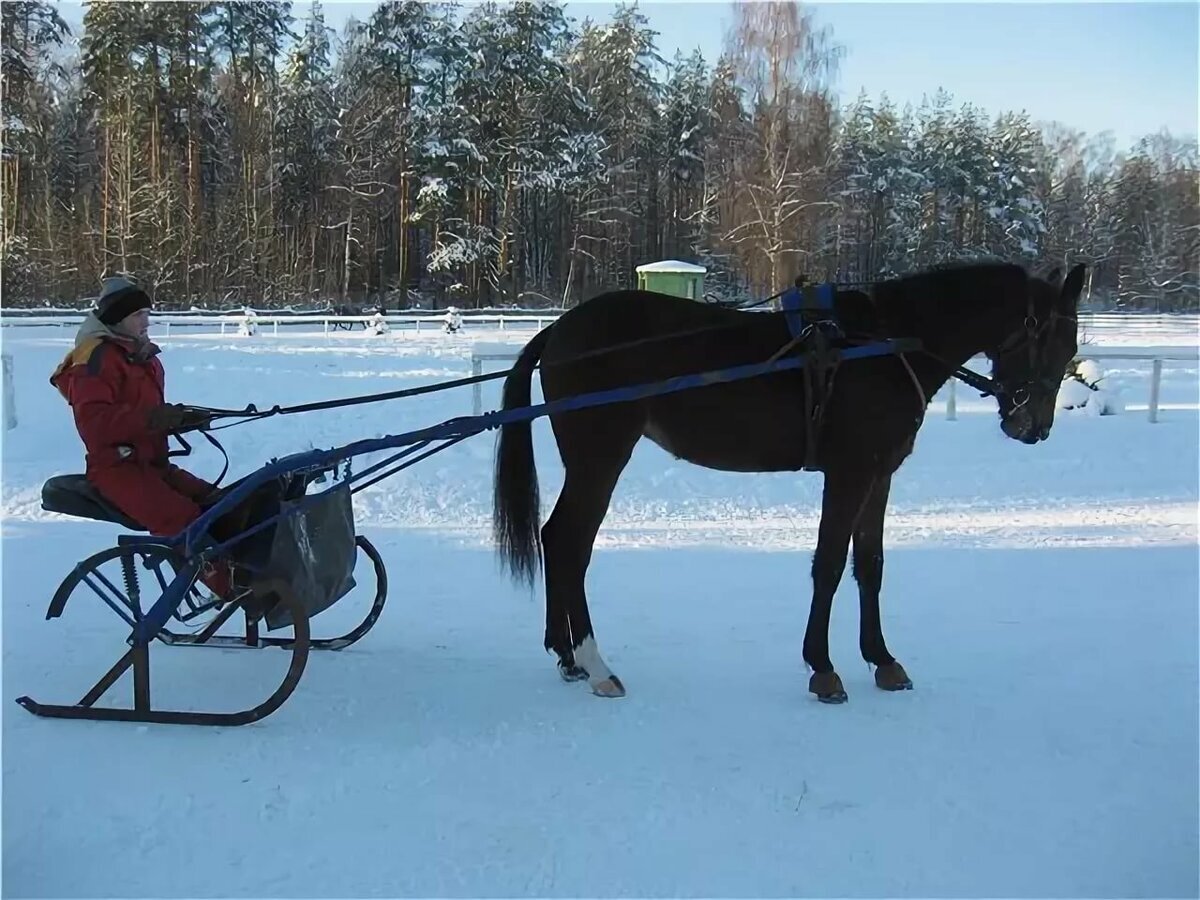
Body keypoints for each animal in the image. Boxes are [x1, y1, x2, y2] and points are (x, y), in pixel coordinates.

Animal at [489, 260, 1089, 705]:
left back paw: (567, 656)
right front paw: (823, 668)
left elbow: (869, 567)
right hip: (601, 459)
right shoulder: (848, 473)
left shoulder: (879, 475)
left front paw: (883, 660)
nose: (1033, 427)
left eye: (1071, 347)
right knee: (571, 543)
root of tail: (561, 329)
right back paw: (595, 664)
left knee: (555, 539)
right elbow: (829, 565)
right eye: (1053, 342)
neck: (882, 344)